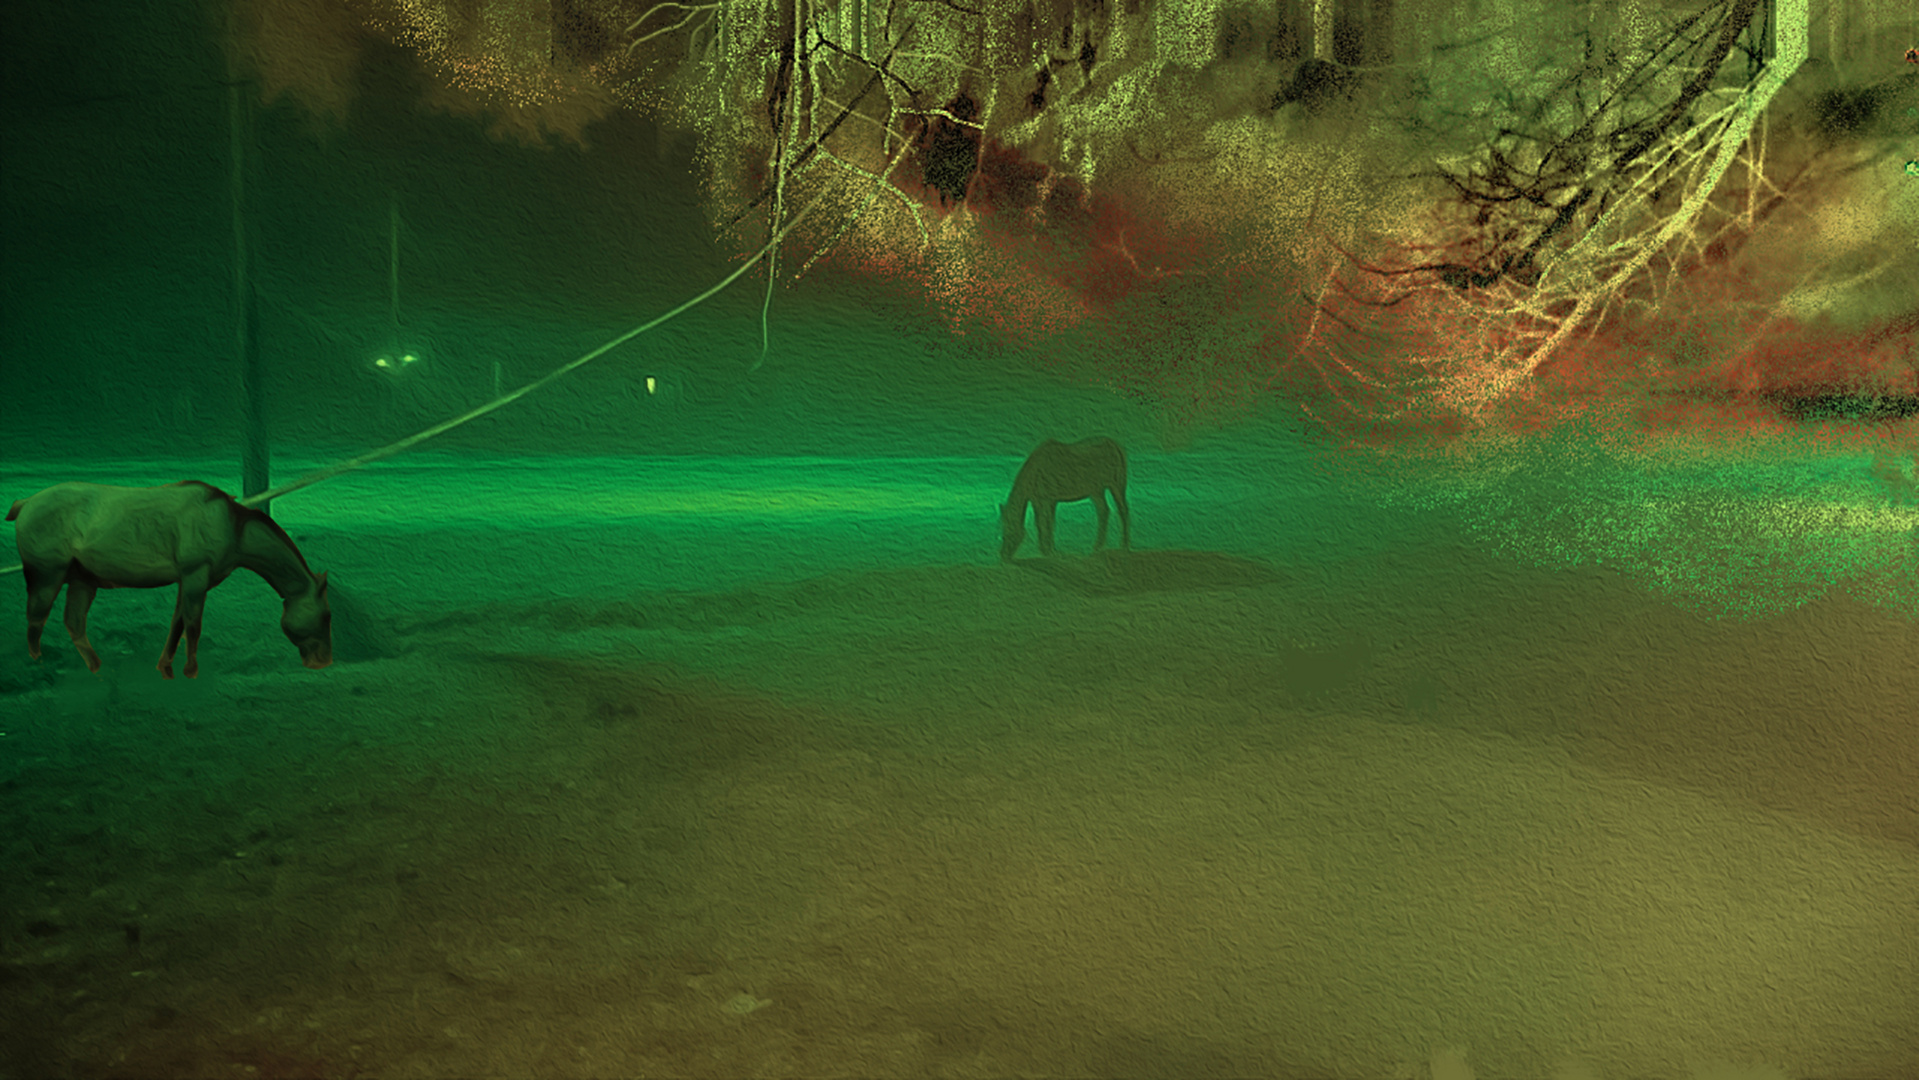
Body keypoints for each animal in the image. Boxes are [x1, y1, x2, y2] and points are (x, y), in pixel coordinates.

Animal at [8, 479, 333, 675]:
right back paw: (39, 663)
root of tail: (26, 502)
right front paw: (190, 669)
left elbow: (177, 623)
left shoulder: (189, 582)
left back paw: (97, 666)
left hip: (82, 581)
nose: (324, 661)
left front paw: (166, 666)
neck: (231, 527)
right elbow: (192, 624)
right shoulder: (194, 576)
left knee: (73, 622)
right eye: (327, 616)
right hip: (47, 575)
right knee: (36, 617)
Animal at [997, 437, 1128, 563]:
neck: (1034, 473)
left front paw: (1048, 551)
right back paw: (1097, 547)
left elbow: (1045, 523)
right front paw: (1050, 550)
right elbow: (1045, 523)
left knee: (1122, 510)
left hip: (1116, 484)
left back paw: (1124, 545)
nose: (1003, 556)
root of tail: (1115, 445)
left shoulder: (1046, 500)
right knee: (1103, 511)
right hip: (1096, 490)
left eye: (1008, 532)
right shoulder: (1044, 501)